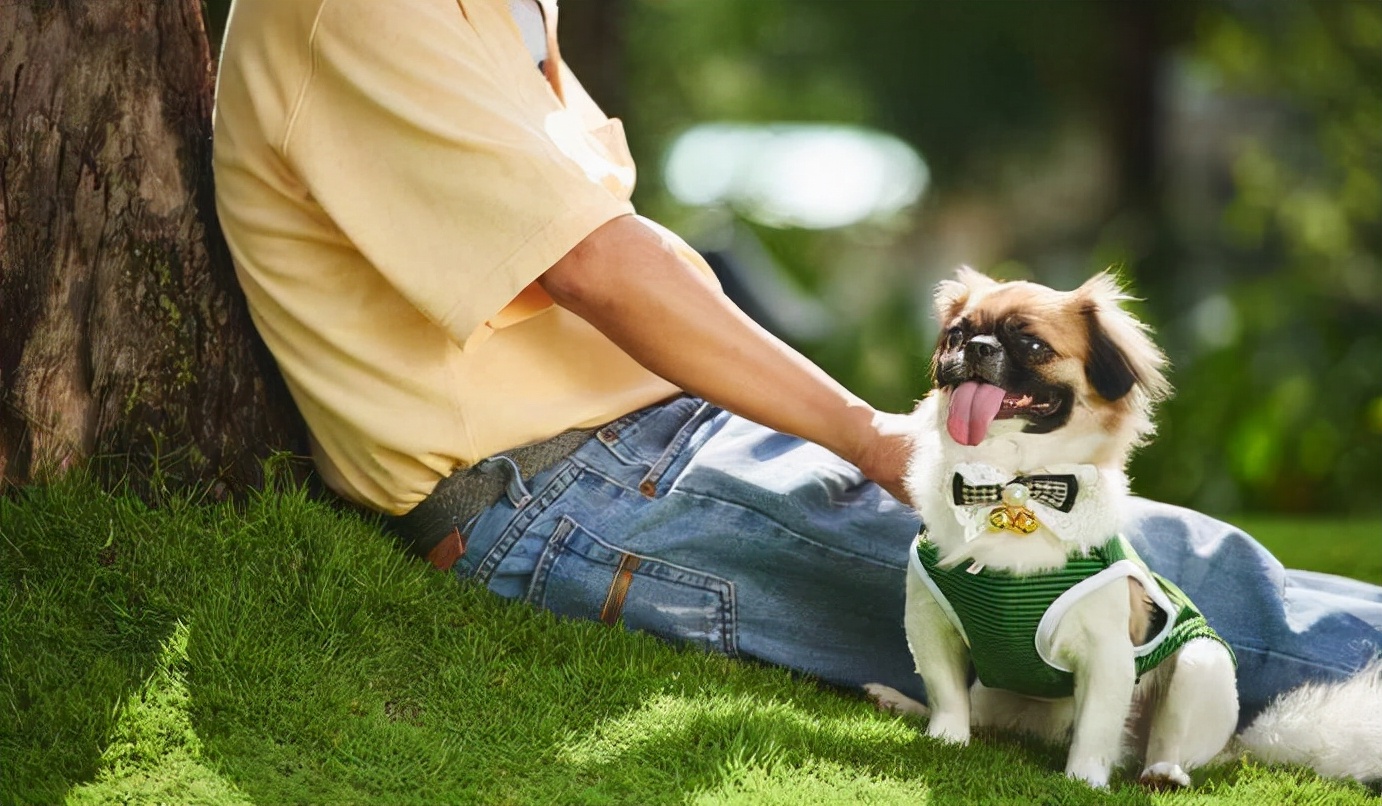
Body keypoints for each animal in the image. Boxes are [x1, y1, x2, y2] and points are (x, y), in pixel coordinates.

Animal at [862, 268, 1382, 790]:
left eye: (1031, 344)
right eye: (956, 335)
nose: (976, 347)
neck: (1014, 486)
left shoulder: (1108, 654)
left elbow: (1095, 729)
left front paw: (1082, 783)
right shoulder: (929, 624)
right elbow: (946, 696)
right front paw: (944, 742)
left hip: (1201, 664)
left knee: (1163, 743)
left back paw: (1162, 772)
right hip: (999, 694)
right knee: (978, 711)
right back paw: (901, 704)